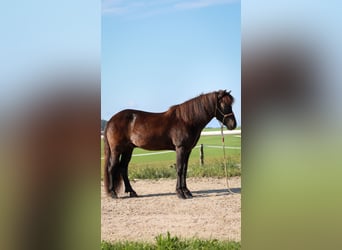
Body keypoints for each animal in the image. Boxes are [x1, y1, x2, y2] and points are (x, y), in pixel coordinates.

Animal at [104, 90, 236, 199]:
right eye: (224, 105)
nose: (233, 124)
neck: (187, 120)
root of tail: (111, 120)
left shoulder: (187, 150)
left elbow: (184, 169)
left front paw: (187, 192)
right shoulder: (180, 148)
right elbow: (179, 169)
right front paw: (180, 193)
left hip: (128, 149)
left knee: (123, 168)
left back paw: (132, 192)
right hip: (116, 150)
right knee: (112, 167)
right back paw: (113, 193)